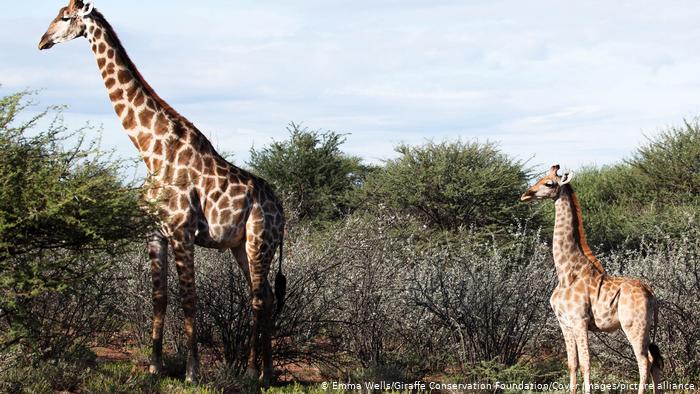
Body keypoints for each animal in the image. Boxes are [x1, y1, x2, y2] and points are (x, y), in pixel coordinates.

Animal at [39, 0, 288, 384]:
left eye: (65, 17)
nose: (42, 41)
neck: (150, 150)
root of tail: (282, 211)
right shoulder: (154, 233)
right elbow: (159, 297)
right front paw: (155, 366)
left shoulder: (182, 231)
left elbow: (189, 299)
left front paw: (192, 372)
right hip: (240, 246)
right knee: (267, 298)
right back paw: (267, 372)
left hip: (259, 241)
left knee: (260, 299)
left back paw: (252, 372)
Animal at [524, 165, 664, 394]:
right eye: (540, 178)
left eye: (549, 183)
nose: (526, 194)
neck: (566, 274)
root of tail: (651, 293)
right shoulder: (564, 323)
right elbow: (572, 364)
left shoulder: (580, 321)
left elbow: (585, 363)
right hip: (646, 327)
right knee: (655, 361)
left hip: (634, 325)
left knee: (644, 361)